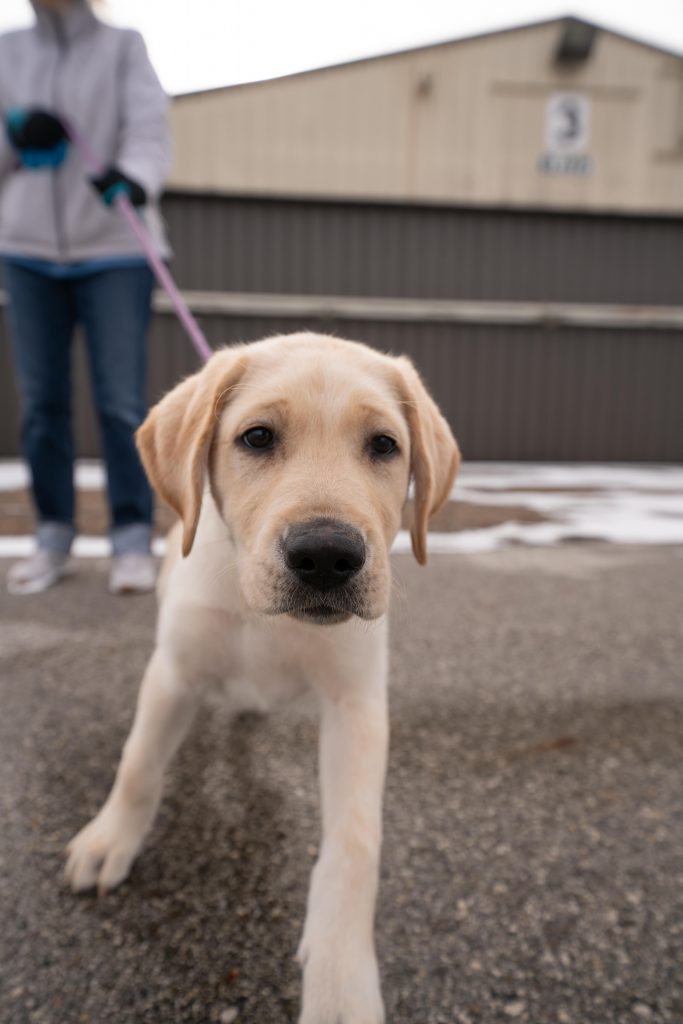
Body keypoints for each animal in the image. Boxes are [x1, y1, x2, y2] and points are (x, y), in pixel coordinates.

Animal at [65, 331, 458, 1019]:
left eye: (384, 445)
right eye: (256, 437)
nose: (326, 554)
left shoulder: (357, 704)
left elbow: (356, 841)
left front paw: (340, 977)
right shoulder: (172, 672)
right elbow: (138, 763)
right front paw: (108, 840)